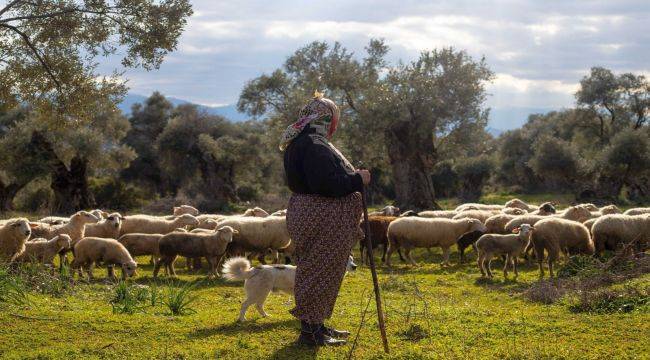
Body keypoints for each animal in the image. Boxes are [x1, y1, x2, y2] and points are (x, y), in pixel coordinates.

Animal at [221, 256, 354, 320]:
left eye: (352, 260)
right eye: (346, 260)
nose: (355, 266)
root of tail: (254, 269)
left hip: (262, 293)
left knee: (257, 306)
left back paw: (265, 316)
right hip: (259, 293)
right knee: (246, 305)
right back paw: (242, 319)